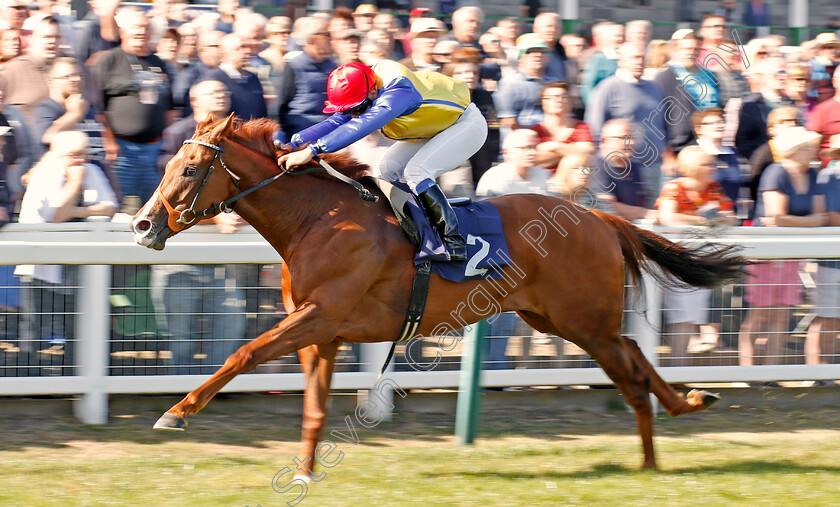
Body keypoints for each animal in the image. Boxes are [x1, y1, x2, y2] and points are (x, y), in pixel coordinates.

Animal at [130, 115, 748, 472]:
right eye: (171, 162)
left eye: (190, 169)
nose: (142, 224)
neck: (316, 219)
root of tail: (598, 216)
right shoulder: (322, 332)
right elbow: (313, 407)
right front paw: (305, 469)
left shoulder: (319, 315)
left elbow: (243, 353)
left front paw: (177, 412)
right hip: (559, 320)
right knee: (636, 356)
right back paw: (674, 423)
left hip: (582, 319)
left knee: (632, 370)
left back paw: (666, 433)